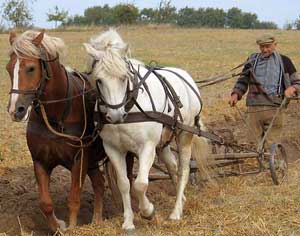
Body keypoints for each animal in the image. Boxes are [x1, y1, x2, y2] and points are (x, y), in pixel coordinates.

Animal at [5, 29, 116, 232]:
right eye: (9, 68)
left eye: (31, 68)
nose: (15, 110)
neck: (56, 115)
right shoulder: (40, 161)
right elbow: (45, 203)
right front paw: (59, 226)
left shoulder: (79, 160)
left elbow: (73, 199)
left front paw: (71, 227)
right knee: (99, 183)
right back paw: (97, 220)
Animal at [84, 29, 206, 232]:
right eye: (99, 80)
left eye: (124, 77)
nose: (115, 115)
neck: (129, 107)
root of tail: (186, 77)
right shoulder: (113, 149)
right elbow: (124, 184)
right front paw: (128, 222)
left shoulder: (147, 147)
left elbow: (140, 184)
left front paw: (148, 211)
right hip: (163, 142)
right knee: (172, 167)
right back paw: (181, 199)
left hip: (184, 135)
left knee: (183, 170)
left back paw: (176, 212)